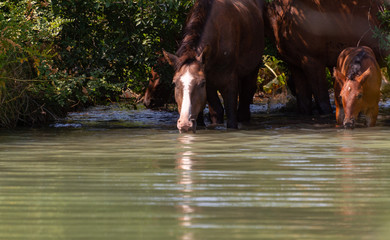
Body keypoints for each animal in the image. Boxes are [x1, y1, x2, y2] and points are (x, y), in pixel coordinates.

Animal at [161, 0, 266, 132]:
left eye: (202, 83)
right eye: (174, 83)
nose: (185, 124)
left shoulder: (229, 82)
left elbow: (231, 119)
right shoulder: (209, 85)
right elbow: (215, 113)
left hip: (252, 70)